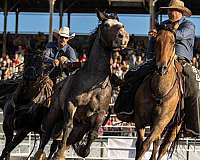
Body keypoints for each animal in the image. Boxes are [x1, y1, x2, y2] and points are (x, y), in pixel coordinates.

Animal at [33, 10, 129, 160]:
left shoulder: (100, 114)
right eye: (106, 25)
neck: (93, 80)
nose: (123, 37)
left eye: (122, 25)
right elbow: (68, 126)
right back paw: (41, 153)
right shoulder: (71, 104)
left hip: (79, 129)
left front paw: (81, 149)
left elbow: (92, 136)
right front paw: (60, 154)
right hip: (54, 113)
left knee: (59, 141)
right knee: (46, 135)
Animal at [134, 28, 183, 159]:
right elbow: (139, 144)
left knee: (163, 148)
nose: (161, 68)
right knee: (156, 144)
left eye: (173, 42)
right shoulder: (139, 119)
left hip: (174, 127)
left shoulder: (161, 121)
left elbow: (145, 144)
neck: (159, 91)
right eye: (156, 41)